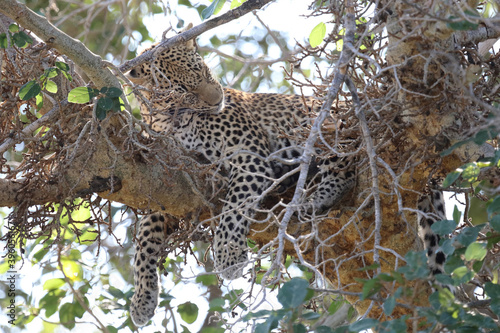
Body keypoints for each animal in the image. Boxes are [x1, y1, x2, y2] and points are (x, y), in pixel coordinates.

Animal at [124, 24, 450, 326]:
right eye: (183, 90)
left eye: (203, 71)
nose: (219, 99)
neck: (169, 120)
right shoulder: (167, 178)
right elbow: (144, 238)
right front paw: (142, 299)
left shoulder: (249, 156)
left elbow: (234, 206)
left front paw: (229, 256)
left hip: (326, 123)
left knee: (346, 164)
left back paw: (310, 200)